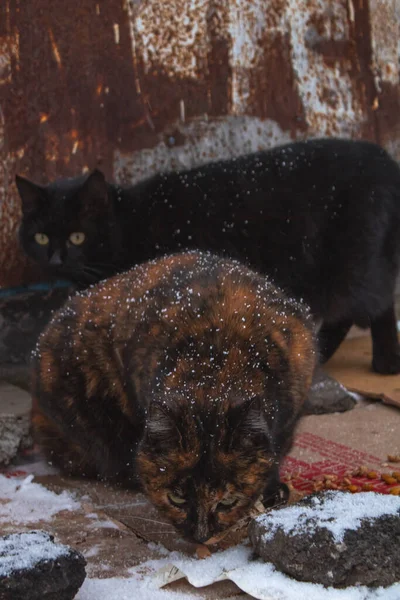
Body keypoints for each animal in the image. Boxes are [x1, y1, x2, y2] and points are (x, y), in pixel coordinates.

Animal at [16, 138, 400, 372]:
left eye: (78, 236)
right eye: (41, 236)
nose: (56, 259)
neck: (128, 226)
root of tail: (384, 159)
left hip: (350, 266)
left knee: (374, 305)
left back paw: (382, 360)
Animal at [32, 251, 316, 540]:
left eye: (228, 502)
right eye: (176, 499)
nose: (200, 536)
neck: (217, 364)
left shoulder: (290, 415)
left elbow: (274, 452)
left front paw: (273, 490)